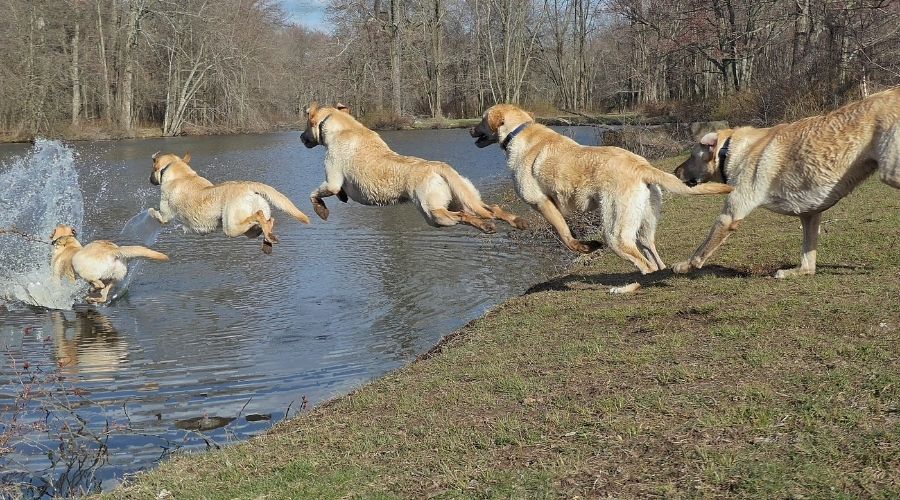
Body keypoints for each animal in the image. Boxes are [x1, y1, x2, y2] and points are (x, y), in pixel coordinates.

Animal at [298, 104, 524, 233]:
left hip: (433, 214)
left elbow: (313, 194)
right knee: (491, 209)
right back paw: (514, 221)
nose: (300, 137)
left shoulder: (332, 181)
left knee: (463, 216)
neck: (345, 127)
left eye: (307, 125)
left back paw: (487, 226)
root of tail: (439, 166)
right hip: (462, 197)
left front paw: (321, 210)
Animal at [676, 86, 900, 278]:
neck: (729, 149)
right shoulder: (810, 215)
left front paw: (684, 265)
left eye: (691, 156)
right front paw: (798, 272)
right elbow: (808, 260)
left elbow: (701, 250)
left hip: (890, 172)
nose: (675, 172)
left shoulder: (731, 214)